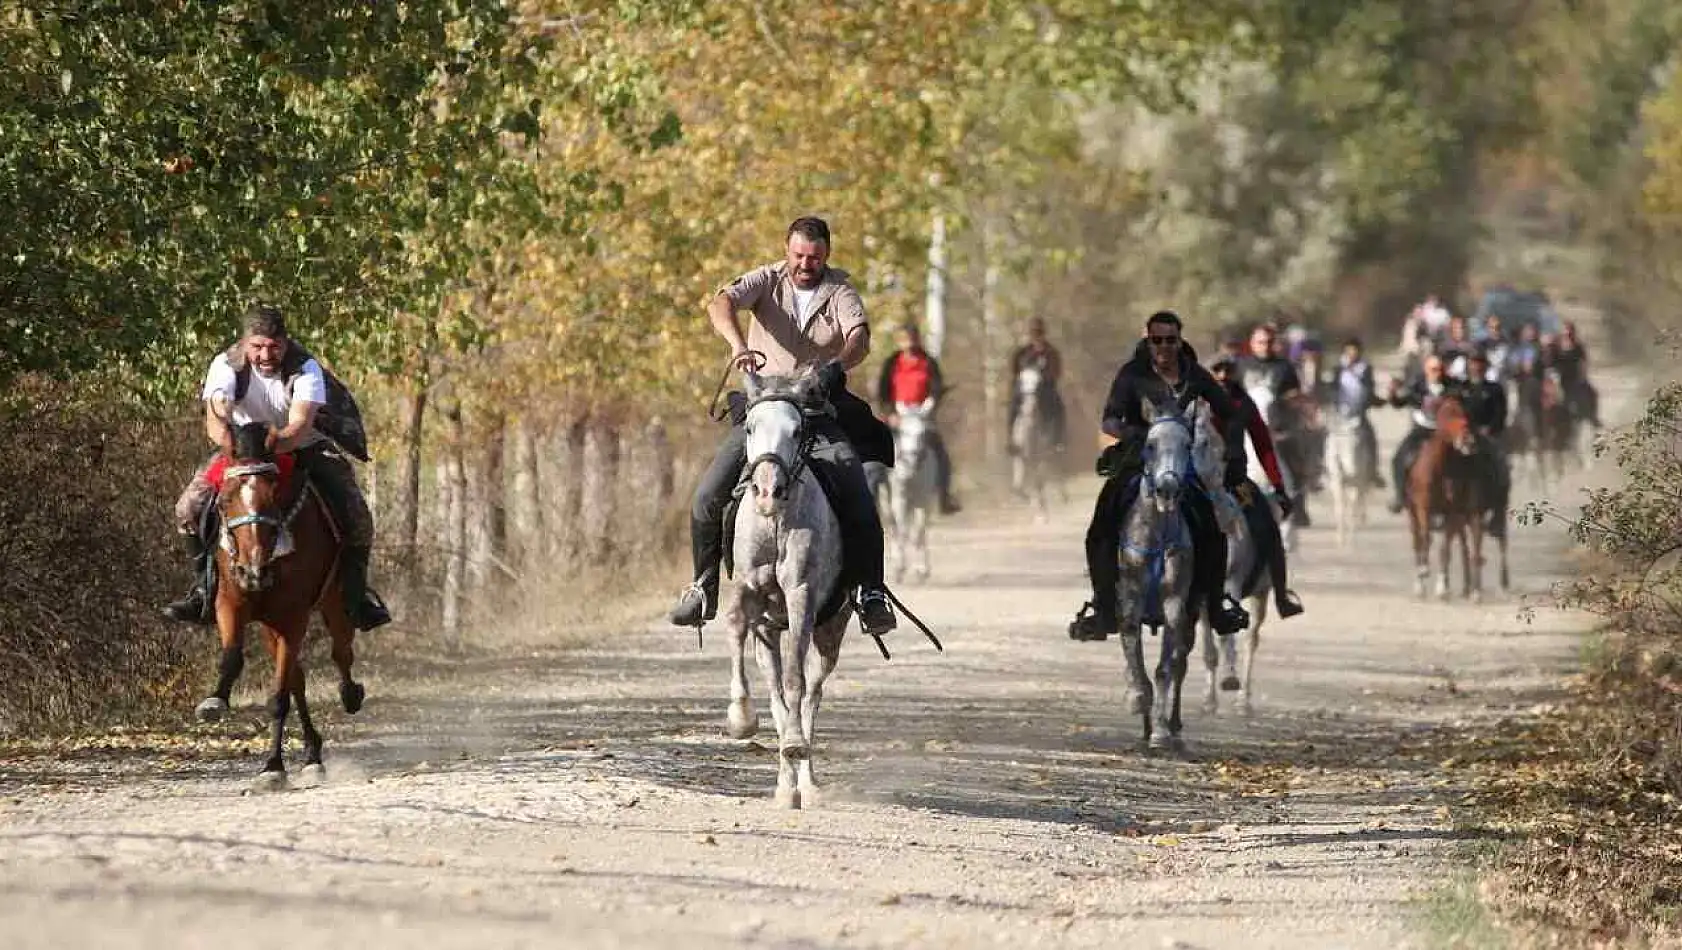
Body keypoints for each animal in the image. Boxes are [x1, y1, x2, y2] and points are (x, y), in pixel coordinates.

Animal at [200, 422, 364, 786]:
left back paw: (350, 696)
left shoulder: (292, 615)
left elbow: (278, 697)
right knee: (297, 678)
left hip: (332, 600)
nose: (253, 572)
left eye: (273, 498)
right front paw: (214, 702)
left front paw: (273, 768)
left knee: (341, 651)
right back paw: (313, 754)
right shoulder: (231, 603)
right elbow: (232, 657)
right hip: (268, 622)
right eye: (226, 500)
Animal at [726, 369, 854, 807]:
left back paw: (807, 783)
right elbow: (736, 627)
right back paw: (786, 787)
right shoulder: (746, 590)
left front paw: (797, 747)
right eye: (749, 427)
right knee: (777, 693)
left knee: (812, 694)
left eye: (797, 431)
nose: (767, 492)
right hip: (768, 631)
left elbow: (797, 684)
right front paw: (740, 719)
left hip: (830, 630)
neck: (774, 522)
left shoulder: (801, 596)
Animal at [888, 396, 941, 581]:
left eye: (923, 432)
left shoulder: (923, 501)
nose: (911, 461)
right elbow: (903, 531)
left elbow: (919, 532)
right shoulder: (900, 500)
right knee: (895, 528)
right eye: (902, 430)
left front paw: (922, 570)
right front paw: (900, 568)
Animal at [1116, 396, 1237, 753]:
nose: (1167, 489)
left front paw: (1160, 732)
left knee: (1182, 661)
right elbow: (1133, 650)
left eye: (1187, 445)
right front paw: (1137, 699)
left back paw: (1173, 727)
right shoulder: (1130, 597)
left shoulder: (1175, 601)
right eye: (1150, 445)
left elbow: (1165, 669)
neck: (1158, 534)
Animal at [1406, 393, 1486, 598]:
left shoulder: (1452, 511)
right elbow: (1425, 538)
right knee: (1417, 541)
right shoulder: (1423, 507)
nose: (1468, 441)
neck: (1440, 469)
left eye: (1465, 414)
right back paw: (1419, 583)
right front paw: (1424, 571)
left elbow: (1445, 548)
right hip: (1412, 513)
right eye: (1447, 415)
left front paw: (1443, 588)